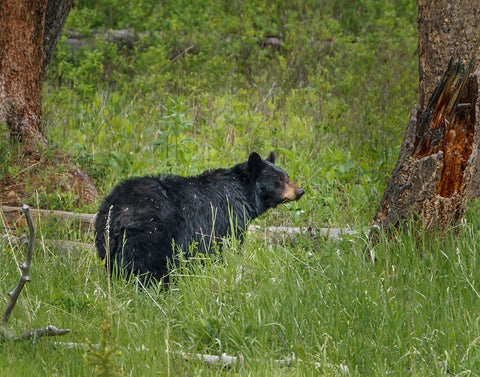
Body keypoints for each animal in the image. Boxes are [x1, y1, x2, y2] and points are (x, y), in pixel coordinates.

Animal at [94, 151, 304, 282]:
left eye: (287, 175)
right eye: (279, 180)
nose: (300, 191)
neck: (243, 193)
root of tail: (120, 210)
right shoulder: (226, 220)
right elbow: (227, 248)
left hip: (105, 236)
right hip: (151, 234)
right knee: (146, 265)